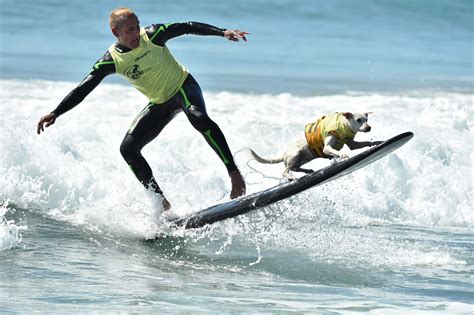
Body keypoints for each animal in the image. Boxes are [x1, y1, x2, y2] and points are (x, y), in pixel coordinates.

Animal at [250, 112, 384, 179]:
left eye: (366, 119)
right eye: (358, 120)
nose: (369, 127)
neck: (343, 126)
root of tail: (283, 153)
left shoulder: (353, 144)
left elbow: (365, 143)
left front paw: (376, 142)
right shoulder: (326, 148)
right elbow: (336, 151)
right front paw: (342, 154)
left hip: (303, 159)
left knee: (294, 168)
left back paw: (306, 170)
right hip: (295, 154)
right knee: (285, 171)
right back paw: (291, 177)